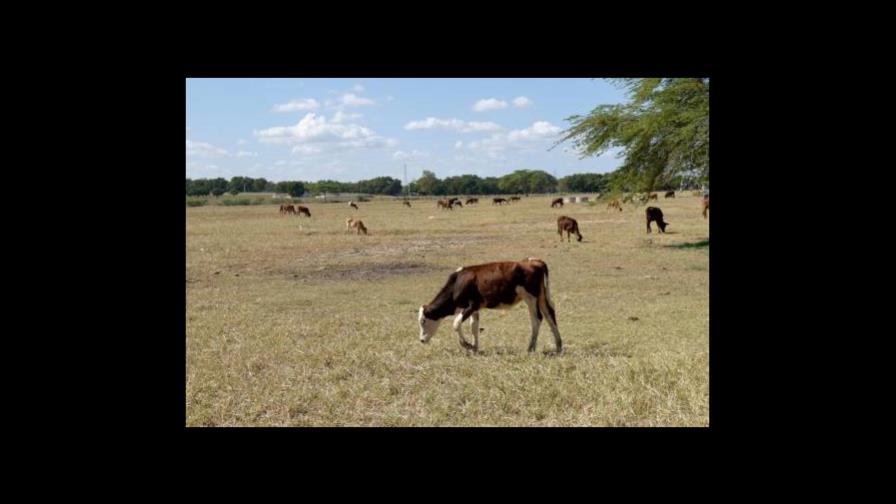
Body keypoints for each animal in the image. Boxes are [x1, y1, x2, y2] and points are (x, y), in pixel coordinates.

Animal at [418, 258, 560, 352]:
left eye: (423, 321)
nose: (421, 340)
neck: (458, 283)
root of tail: (534, 261)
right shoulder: (475, 309)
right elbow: (474, 327)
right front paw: (474, 347)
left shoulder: (470, 306)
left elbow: (456, 323)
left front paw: (466, 344)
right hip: (542, 297)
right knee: (550, 314)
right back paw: (559, 346)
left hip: (531, 297)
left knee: (537, 319)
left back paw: (531, 348)